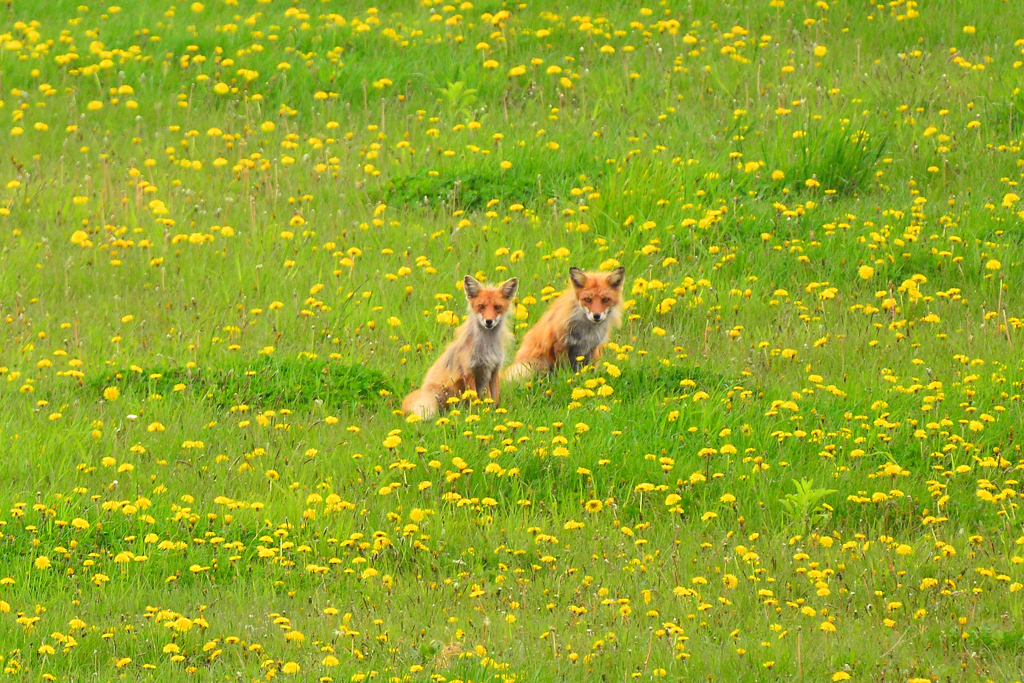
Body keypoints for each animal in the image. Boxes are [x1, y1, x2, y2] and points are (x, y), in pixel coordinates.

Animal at [397, 274, 516, 419]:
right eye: (481, 306)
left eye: (497, 307)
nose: (489, 321)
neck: (487, 347)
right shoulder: (469, 371)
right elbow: (474, 399)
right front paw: (477, 415)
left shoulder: (494, 370)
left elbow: (495, 398)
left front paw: (495, 413)